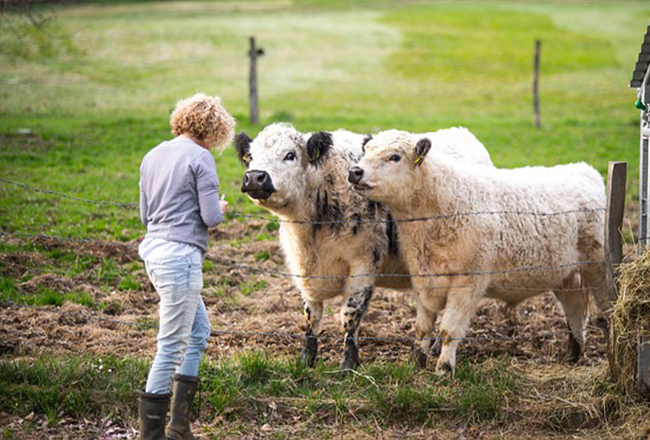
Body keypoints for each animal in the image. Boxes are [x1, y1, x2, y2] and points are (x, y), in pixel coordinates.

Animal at [233, 123, 492, 368]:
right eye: (250, 156)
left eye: (290, 155)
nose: (255, 177)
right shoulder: (303, 271)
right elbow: (311, 316)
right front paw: (307, 360)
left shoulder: (362, 265)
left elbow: (350, 316)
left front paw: (348, 364)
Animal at [350, 130, 608, 374]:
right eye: (366, 151)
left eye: (394, 157)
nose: (355, 171)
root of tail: (583, 169)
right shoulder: (422, 278)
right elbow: (422, 328)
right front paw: (415, 364)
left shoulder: (468, 281)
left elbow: (449, 329)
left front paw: (444, 369)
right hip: (565, 276)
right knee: (575, 310)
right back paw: (573, 356)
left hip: (598, 268)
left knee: (605, 311)